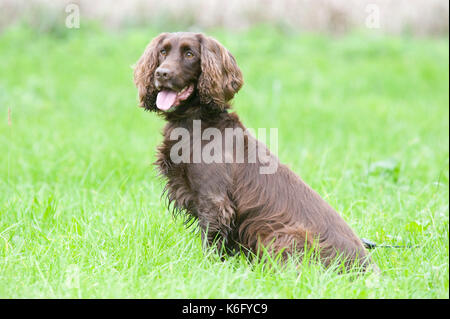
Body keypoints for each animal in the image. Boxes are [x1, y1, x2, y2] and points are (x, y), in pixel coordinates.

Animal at [134, 32, 376, 272]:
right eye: (163, 51)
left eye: (189, 54)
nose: (161, 73)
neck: (196, 123)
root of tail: (366, 267)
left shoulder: (215, 201)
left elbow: (210, 242)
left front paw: (207, 267)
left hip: (283, 235)